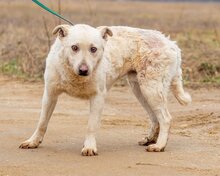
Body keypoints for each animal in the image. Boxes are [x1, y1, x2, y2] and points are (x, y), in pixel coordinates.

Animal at [19, 23, 191, 155]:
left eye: (93, 49)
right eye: (74, 47)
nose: (84, 70)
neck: (75, 75)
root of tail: (171, 44)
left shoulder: (98, 97)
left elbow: (91, 125)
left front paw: (89, 147)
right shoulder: (50, 94)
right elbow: (42, 122)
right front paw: (33, 141)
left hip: (151, 88)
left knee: (165, 118)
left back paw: (159, 145)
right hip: (140, 89)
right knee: (155, 117)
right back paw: (150, 139)